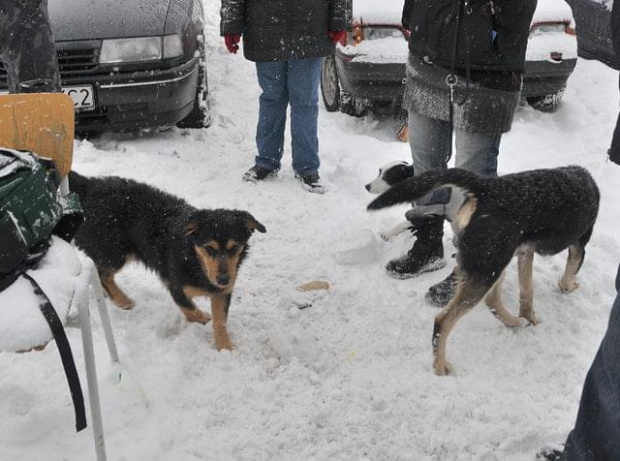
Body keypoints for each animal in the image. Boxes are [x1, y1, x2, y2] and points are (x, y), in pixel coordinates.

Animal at [69, 172, 266, 348]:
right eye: (209, 247)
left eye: (235, 247)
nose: (224, 280)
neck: (194, 259)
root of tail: (89, 185)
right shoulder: (176, 287)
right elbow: (192, 312)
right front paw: (204, 320)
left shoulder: (221, 292)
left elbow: (220, 321)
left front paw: (224, 347)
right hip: (115, 252)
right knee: (103, 274)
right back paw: (122, 301)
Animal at [368, 165, 600, 374]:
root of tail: (487, 186)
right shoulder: (579, 245)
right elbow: (568, 275)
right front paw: (568, 286)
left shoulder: (525, 252)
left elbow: (527, 292)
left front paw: (530, 317)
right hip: (491, 265)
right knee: (444, 320)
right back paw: (440, 366)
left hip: (495, 261)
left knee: (492, 301)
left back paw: (516, 322)